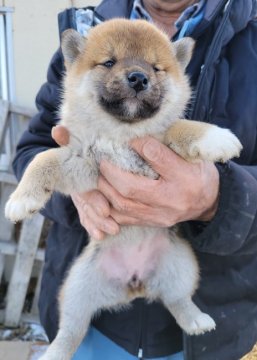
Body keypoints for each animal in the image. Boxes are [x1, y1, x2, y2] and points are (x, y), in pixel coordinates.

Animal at [4, 19, 241, 360]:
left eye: (155, 68)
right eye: (109, 62)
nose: (139, 78)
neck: (121, 135)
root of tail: (135, 283)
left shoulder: (158, 146)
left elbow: (178, 126)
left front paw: (216, 137)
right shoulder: (85, 165)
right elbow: (42, 158)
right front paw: (22, 200)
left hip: (181, 267)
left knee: (178, 300)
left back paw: (196, 320)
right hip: (76, 289)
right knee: (71, 330)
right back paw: (54, 352)